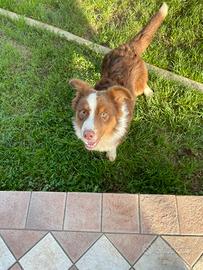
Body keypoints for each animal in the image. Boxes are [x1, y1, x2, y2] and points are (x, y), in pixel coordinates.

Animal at [70, 2, 168, 160]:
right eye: (83, 112)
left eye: (104, 115)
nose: (88, 135)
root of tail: (128, 46)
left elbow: (113, 146)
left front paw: (111, 155)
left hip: (138, 85)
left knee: (143, 84)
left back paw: (149, 92)